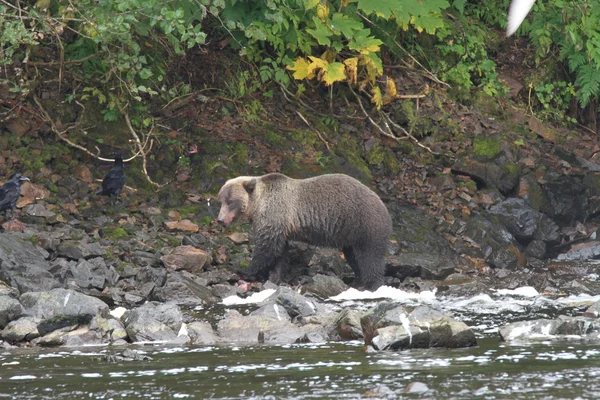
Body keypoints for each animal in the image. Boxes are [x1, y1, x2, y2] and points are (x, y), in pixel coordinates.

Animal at [217, 173, 394, 290]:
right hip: (350, 233)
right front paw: (275, 277)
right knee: (354, 256)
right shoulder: (281, 227)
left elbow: (267, 249)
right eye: (221, 200)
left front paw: (246, 270)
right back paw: (358, 281)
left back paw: (371, 284)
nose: (220, 219)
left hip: (365, 224)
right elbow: (279, 253)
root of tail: (383, 205)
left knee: (369, 256)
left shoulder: (275, 214)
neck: (258, 204)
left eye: (231, 201)